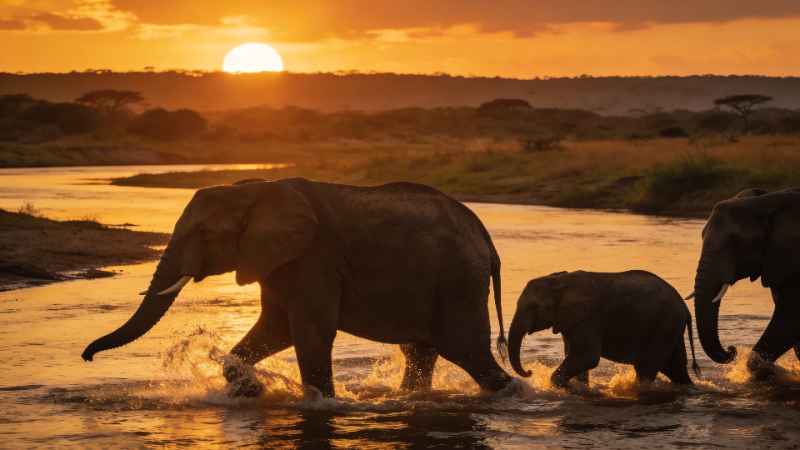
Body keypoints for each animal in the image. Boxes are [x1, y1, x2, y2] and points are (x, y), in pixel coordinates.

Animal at [81, 178, 513, 397]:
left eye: (203, 233)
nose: (87, 357)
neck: (254, 189)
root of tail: (486, 239)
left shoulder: (314, 258)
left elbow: (310, 333)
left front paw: (320, 404)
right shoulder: (280, 262)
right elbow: (276, 329)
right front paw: (250, 390)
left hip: (458, 281)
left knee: (466, 351)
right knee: (421, 353)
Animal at [508, 270, 700, 387]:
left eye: (533, 307)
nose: (529, 372)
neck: (561, 281)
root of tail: (685, 307)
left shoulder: (588, 319)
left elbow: (587, 357)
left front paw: (561, 385)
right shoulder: (572, 321)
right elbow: (575, 355)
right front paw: (578, 387)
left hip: (664, 326)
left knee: (647, 368)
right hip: (670, 328)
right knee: (675, 368)